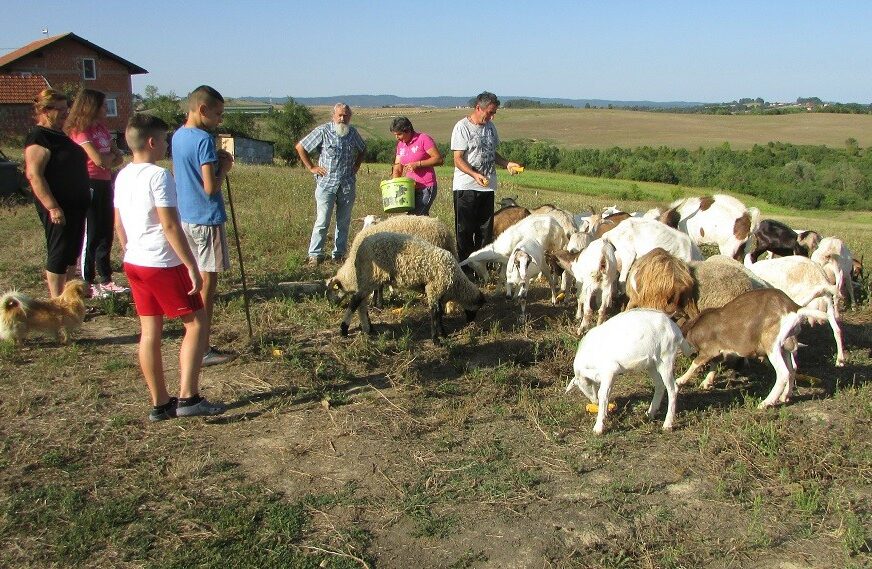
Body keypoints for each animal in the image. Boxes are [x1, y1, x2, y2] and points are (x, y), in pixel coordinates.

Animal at [328, 233, 488, 344]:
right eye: (477, 308)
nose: (470, 322)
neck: (457, 283)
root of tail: (360, 247)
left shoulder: (438, 294)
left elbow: (440, 314)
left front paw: (443, 334)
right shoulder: (434, 289)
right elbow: (435, 314)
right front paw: (436, 340)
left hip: (367, 279)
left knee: (361, 303)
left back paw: (368, 328)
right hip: (371, 276)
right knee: (355, 301)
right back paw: (344, 329)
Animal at [564, 308, 696, 432]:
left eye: (586, 384)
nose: (594, 402)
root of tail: (676, 330)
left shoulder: (608, 370)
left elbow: (603, 393)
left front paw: (598, 427)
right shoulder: (611, 375)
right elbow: (607, 393)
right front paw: (605, 415)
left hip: (666, 357)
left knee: (673, 388)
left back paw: (667, 424)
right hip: (652, 363)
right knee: (660, 385)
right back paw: (650, 413)